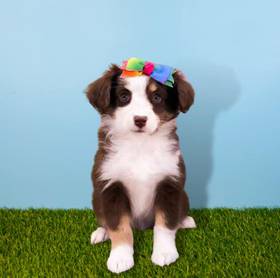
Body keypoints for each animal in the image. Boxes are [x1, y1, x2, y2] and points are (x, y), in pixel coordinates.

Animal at [86, 60, 196, 274]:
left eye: (157, 97)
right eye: (124, 97)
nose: (140, 120)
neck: (140, 145)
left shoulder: (170, 183)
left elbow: (165, 223)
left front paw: (165, 253)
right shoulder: (110, 186)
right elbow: (118, 225)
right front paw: (120, 258)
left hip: (184, 196)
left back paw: (185, 221)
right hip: (96, 199)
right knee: (104, 220)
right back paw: (100, 233)